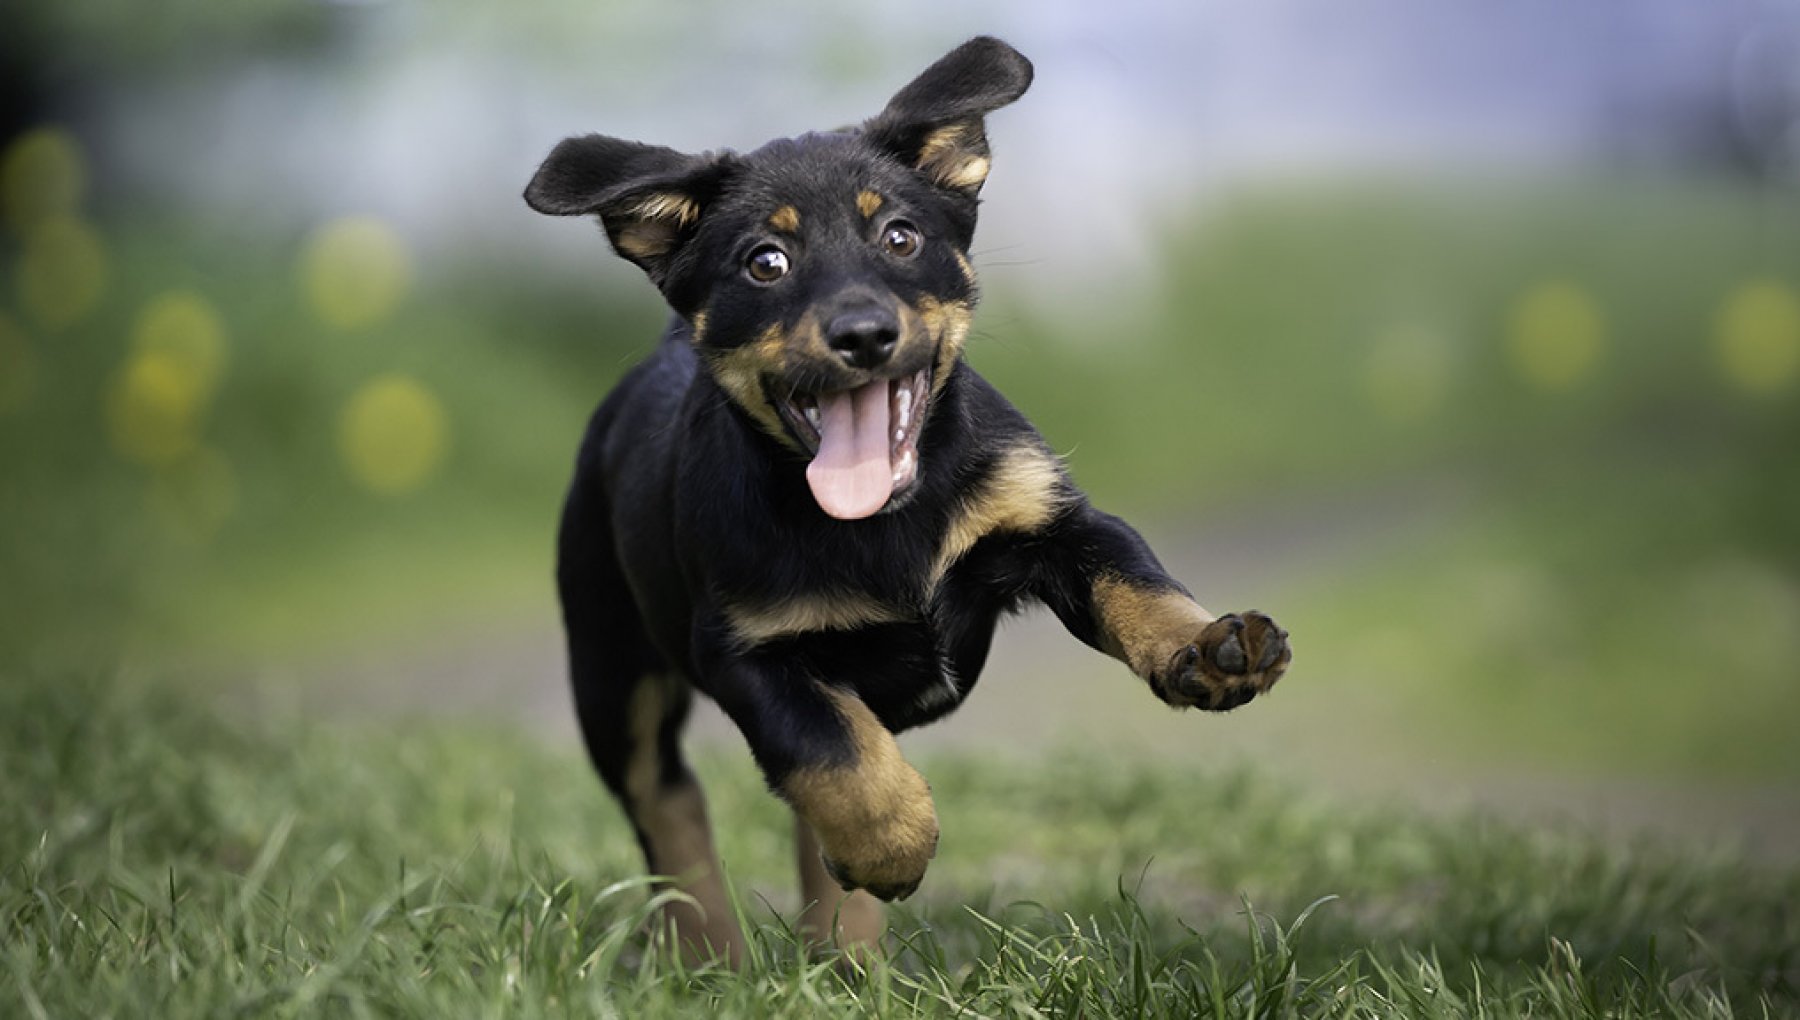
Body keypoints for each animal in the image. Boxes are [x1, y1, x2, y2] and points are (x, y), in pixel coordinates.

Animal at [525, 35, 1296, 964]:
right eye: (765, 261)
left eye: (900, 236)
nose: (863, 334)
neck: (884, 519)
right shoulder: (745, 648)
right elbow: (831, 752)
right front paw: (893, 845)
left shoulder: (1060, 525)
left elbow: (1138, 585)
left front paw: (1210, 648)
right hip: (609, 663)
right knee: (667, 803)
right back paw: (712, 949)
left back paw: (845, 958)